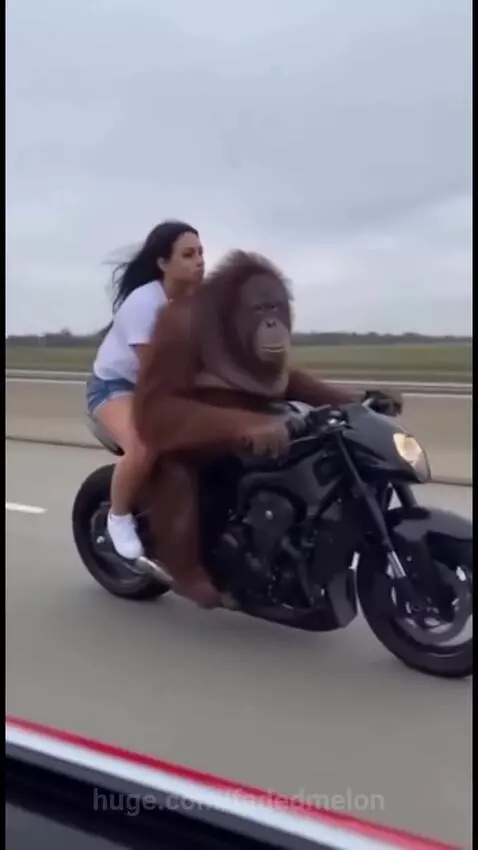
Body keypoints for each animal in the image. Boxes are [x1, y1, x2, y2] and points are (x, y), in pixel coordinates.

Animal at [133, 251, 355, 609]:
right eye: (259, 309)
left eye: (274, 306)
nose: (272, 323)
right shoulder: (178, 329)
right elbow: (157, 405)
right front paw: (268, 430)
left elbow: (288, 379)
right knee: (175, 464)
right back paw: (191, 581)